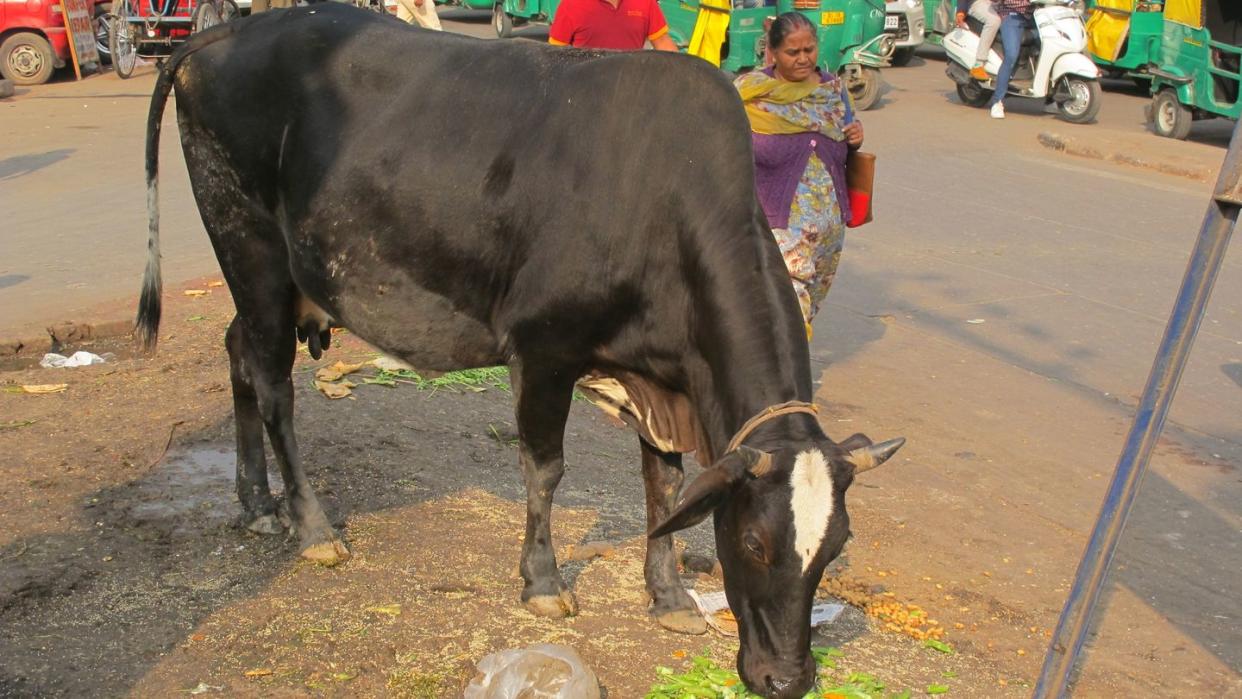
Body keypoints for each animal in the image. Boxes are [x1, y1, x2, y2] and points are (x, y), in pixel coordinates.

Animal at [138, 6, 904, 699]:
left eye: (836, 547)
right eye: (752, 544)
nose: (787, 679)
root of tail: (222, 33)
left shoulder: (661, 381)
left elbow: (664, 486)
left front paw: (670, 599)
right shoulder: (542, 348)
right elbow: (546, 470)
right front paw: (543, 582)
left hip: (268, 279)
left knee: (238, 352)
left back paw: (255, 502)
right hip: (251, 248)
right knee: (273, 384)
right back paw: (312, 525)